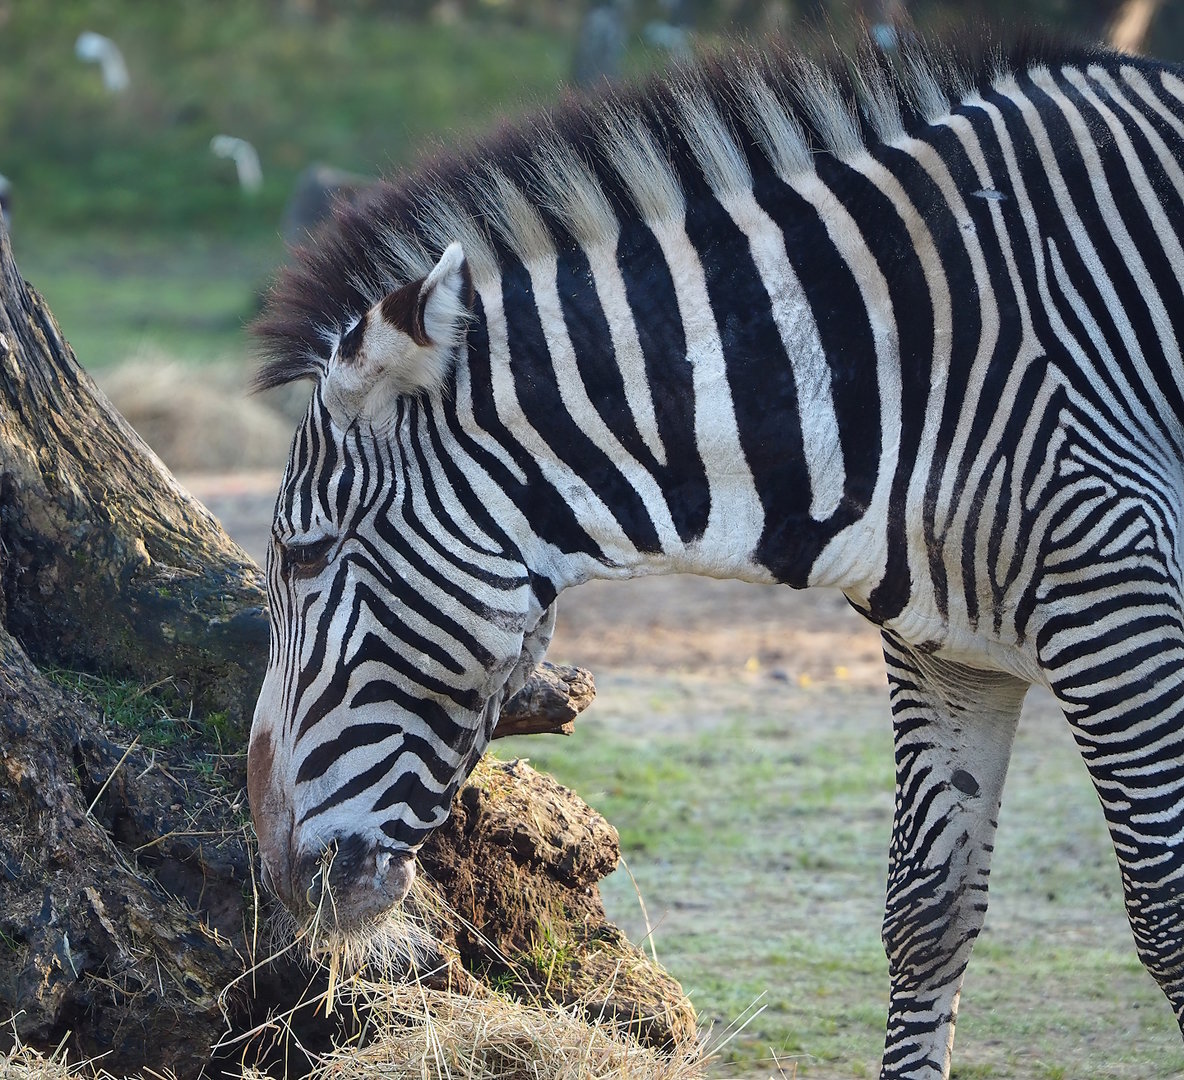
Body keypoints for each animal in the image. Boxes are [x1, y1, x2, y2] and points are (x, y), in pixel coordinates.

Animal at [247, 31, 1184, 1079]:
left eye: (303, 555)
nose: (273, 869)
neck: (895, 360)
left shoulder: (1120, 602)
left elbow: (1166, 916)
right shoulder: (949, 651)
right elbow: (926, 913)